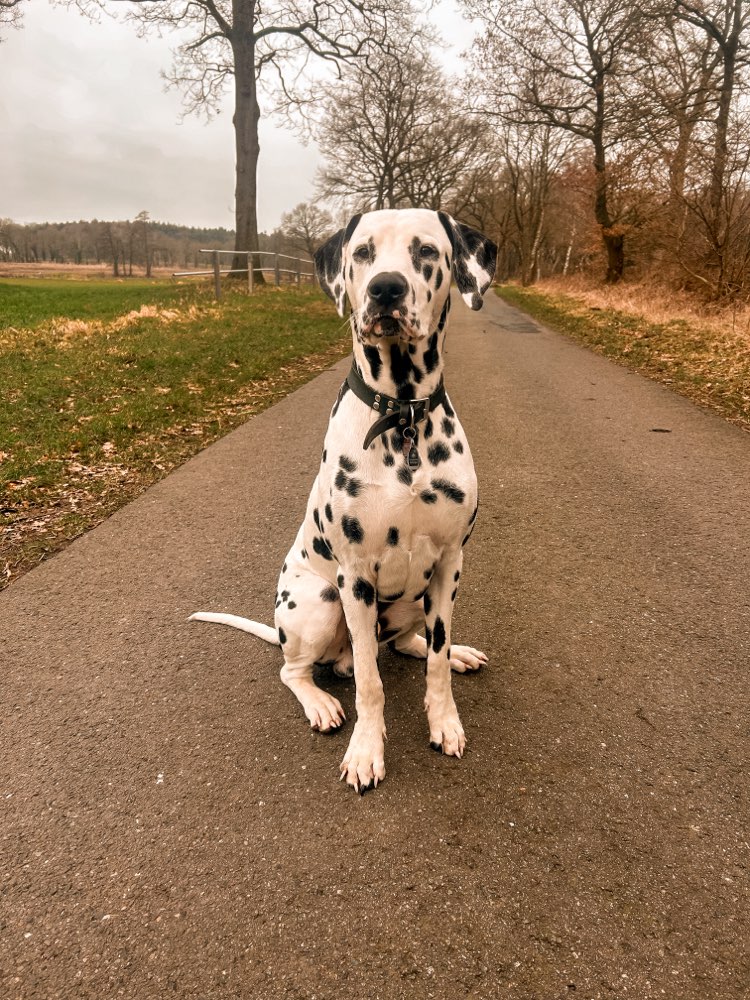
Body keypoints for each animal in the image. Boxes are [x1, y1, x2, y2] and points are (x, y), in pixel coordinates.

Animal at [192, 209, 500, 788]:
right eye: (362, 253)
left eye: (427, 250)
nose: (386, 289)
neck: (402, 417)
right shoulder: (355, 576)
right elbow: (369, 681)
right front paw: (366, 750)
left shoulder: (450, 563)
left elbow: (436, 660)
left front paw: (444, 719)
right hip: (318, 601)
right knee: (298, 669)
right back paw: (319, 702)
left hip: (414, 599)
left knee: (409, 644)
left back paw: (457, 652)